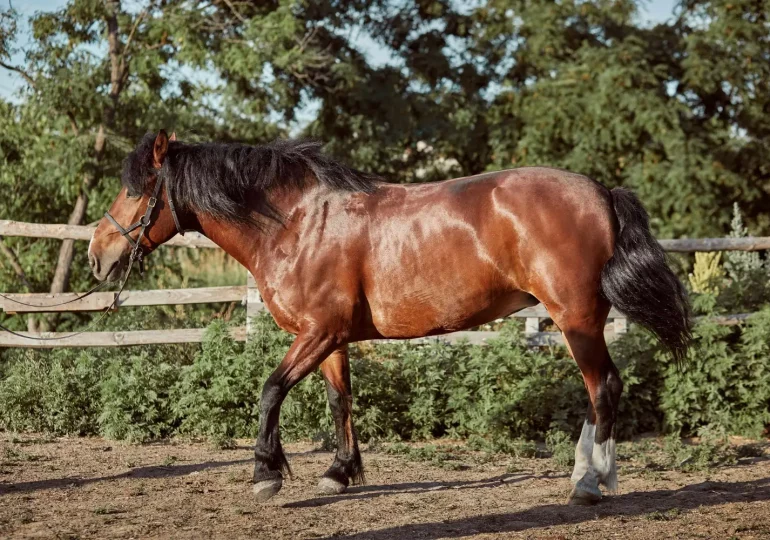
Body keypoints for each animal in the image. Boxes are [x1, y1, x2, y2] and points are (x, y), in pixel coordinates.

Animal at [88, 130, 691, 506]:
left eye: (134, 190)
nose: (98, 255)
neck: (297, 222)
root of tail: (600, 191)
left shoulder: (318, 333)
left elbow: (270, 391)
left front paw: (265, 474)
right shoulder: (330, 338)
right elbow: (340, 400)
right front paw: (339, 473)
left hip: (577, 319)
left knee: (603, 387)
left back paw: (590, 484)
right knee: (599, 390)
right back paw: (587, 474)